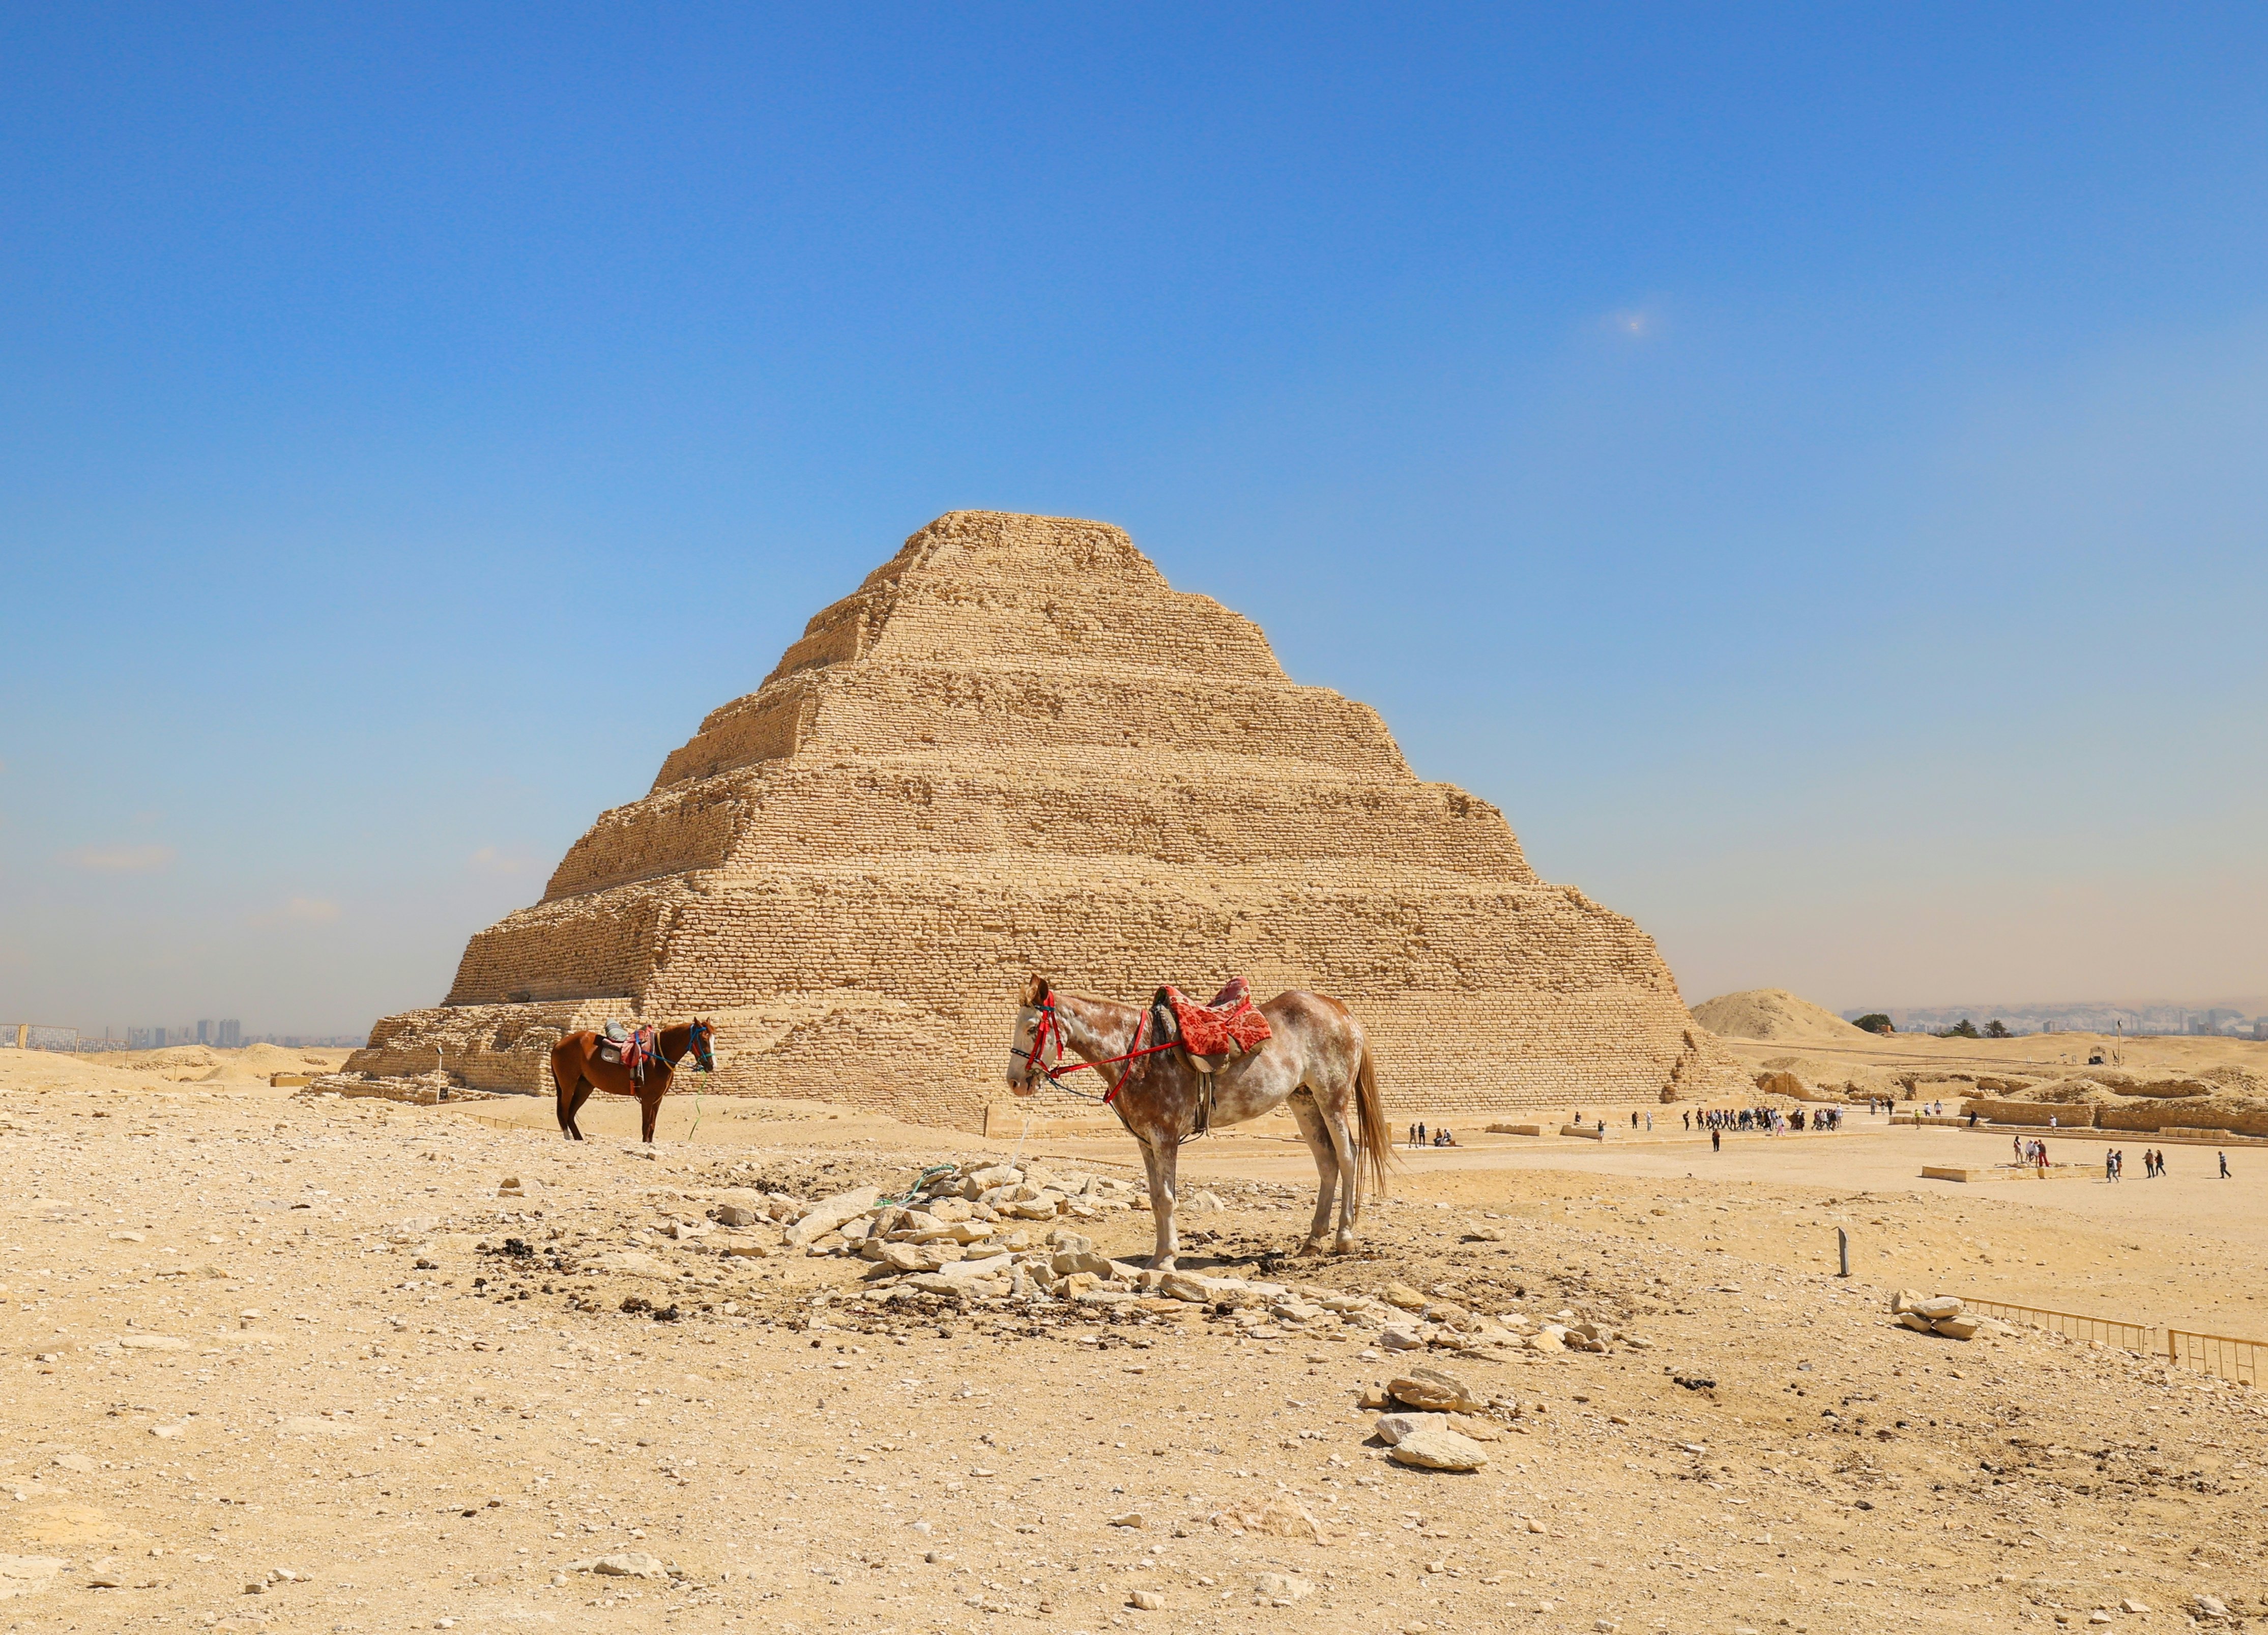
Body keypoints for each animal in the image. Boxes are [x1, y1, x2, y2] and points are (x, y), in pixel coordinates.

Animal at [548, 1020, 717, 1143]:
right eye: (703, 1040)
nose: (712, 1065)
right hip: (568, 1086)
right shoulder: (647, 1099)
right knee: (564, 1112)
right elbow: (646, 1126)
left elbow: (652, 1126)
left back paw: (579, 1139)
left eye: (714, 1039)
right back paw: (568, 1138)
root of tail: (559, 1044)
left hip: (585, 1087)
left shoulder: (658, 1099)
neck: (659, 1056)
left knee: (571, 1114)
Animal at [1002, 975, 1390, 1271]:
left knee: (1348, 1156)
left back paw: (1344, 1237)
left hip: (1332, 1098)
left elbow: (1168, 1199)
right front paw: (1159, 1255)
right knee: (1326, 1161)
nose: (1015, 1083)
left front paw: (1166, 1259)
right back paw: (1313, 1240)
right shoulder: (1145, 1141)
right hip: (1303, 1100)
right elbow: (1156, 1197)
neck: (1137, 1052)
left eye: (1033, 1028)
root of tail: (1340, 1009)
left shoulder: (1165, 1137)